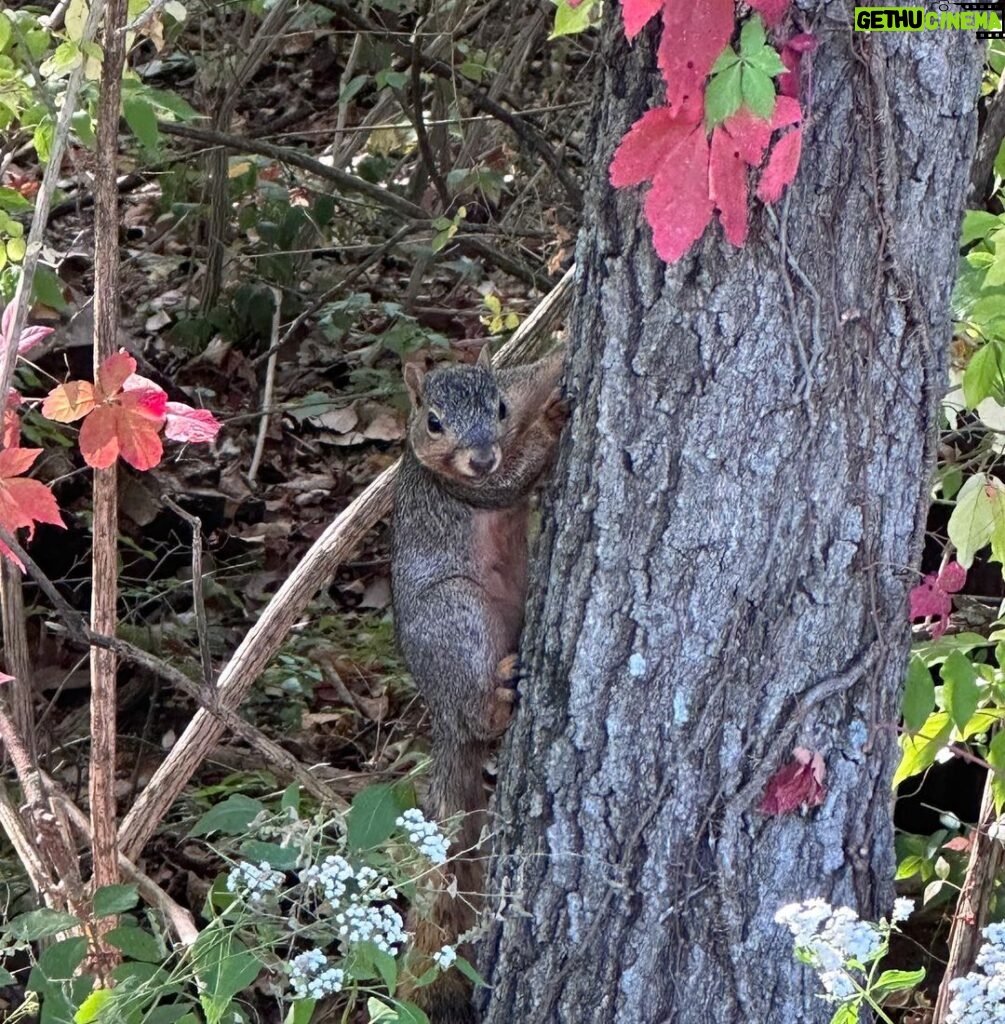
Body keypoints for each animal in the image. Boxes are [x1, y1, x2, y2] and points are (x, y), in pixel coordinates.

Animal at [389, 346, 565, 1024]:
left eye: (500, 407)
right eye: (433, 422)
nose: (481, 455)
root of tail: (440, 711)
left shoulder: (518, 382)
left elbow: (540, 370)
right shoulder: (466, 487)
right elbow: (510, 480)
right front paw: (553, 427)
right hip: (459, 620)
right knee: (478, 712)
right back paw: (501, 695)